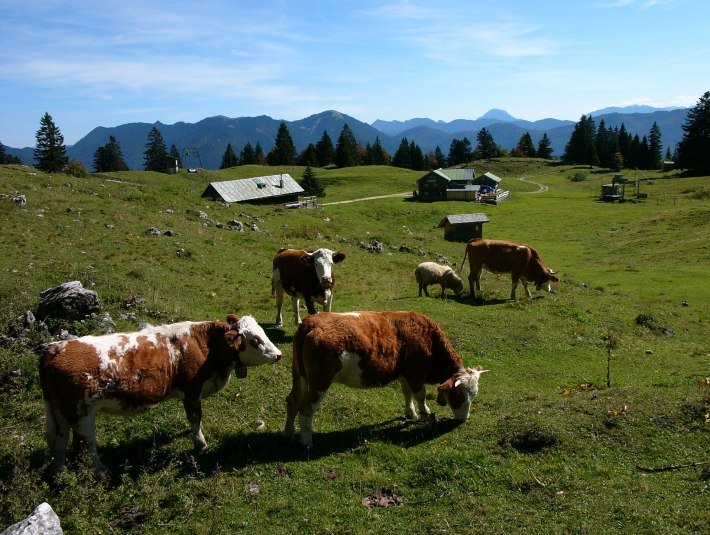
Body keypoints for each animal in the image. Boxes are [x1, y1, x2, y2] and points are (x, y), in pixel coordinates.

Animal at [39, 314, 280, 478]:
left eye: (263, 332)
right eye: (255, 340)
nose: (279, 354)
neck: (206, 344)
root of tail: (53, 349)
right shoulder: (192, 389)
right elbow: (195, 417)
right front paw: (201, 444)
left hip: (57, 410)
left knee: (58, 442)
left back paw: (59, 475)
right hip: (82, 415)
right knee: (86, 447)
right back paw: (102, 473)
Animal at [284, 312, 490, 450]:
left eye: (474, 395)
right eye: (458, 396)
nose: (463, 419)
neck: (428, 339)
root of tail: (311, 322)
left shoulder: (404, 374)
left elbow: (407, 393)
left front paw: (411, 413)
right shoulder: (416, 373)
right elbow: (421, 395)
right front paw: (426, 414)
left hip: (299, 375)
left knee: (292, 401)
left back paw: (289, 434)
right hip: (319, 382)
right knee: (306, 409)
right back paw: (306, 442)